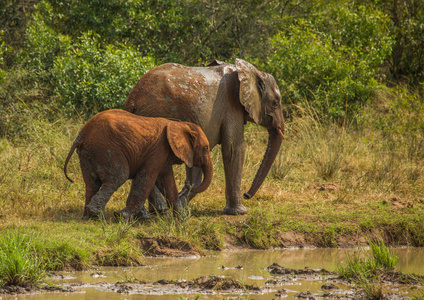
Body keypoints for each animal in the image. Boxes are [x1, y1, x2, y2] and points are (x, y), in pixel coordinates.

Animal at [63, 109, 214, 220]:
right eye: (205, 148)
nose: (187, 183)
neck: (178, 124)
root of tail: (81, 135)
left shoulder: (163, 154)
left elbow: (167, 181)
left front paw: (181, 219)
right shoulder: (158, 150)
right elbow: (147, 179)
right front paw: (123, 216)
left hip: (87, 153)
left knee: (91, 183)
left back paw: (89, 217)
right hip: (105, 149)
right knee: (118, 177)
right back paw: (96, 214)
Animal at [124, 58, 286, 216]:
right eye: (275, 102)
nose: (246, 195)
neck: (249, 72)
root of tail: (132, 99)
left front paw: (183, 205)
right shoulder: (231, 105)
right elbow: (233, 149)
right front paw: (238, 212)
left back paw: (151, 212)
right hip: (156, 115)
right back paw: (159, 210)